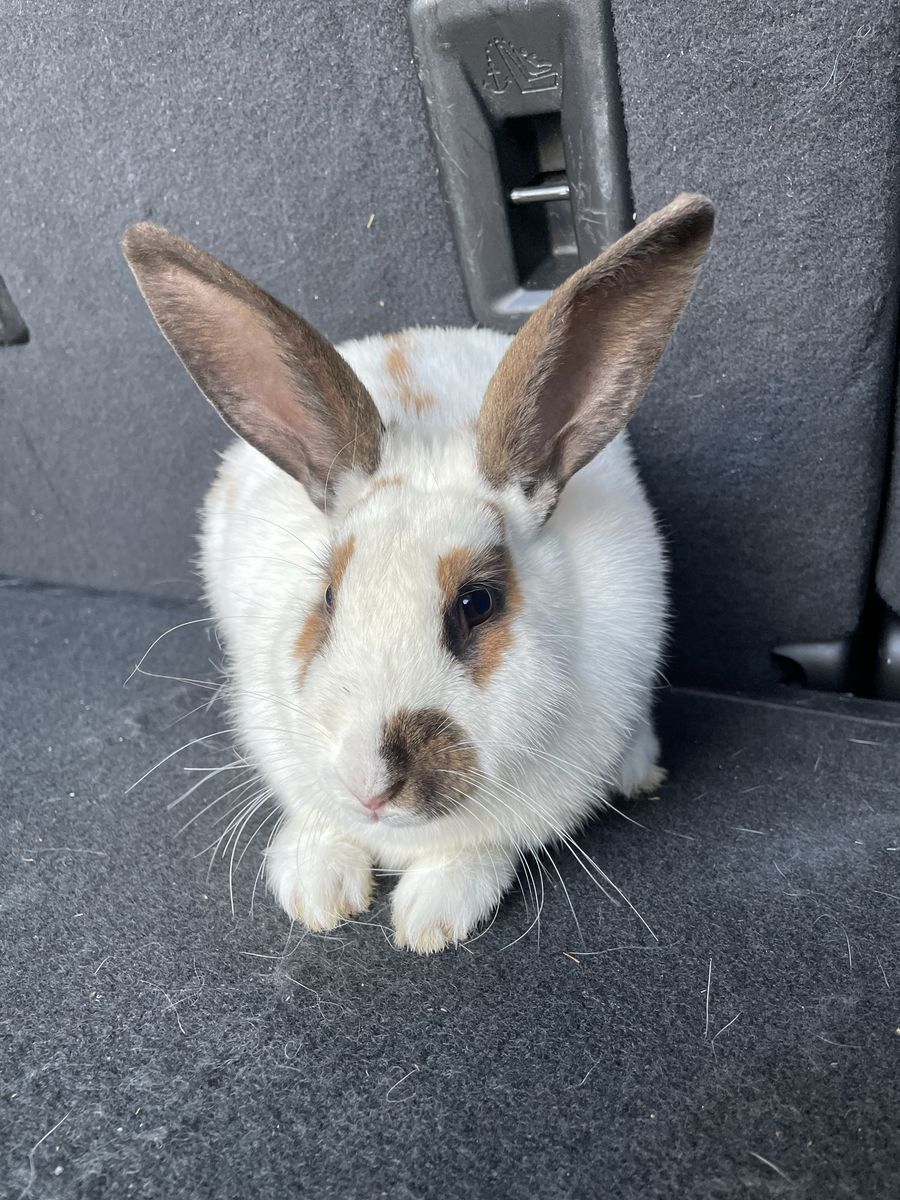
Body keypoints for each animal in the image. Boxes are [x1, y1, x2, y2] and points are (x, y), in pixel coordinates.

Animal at [122, 192, 714, 953]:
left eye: (478, 603)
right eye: (328, 596)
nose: (368, 784)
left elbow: (469, 853)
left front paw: (430, 920)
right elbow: (319, 828)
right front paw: (315, 892)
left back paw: (638, 771)